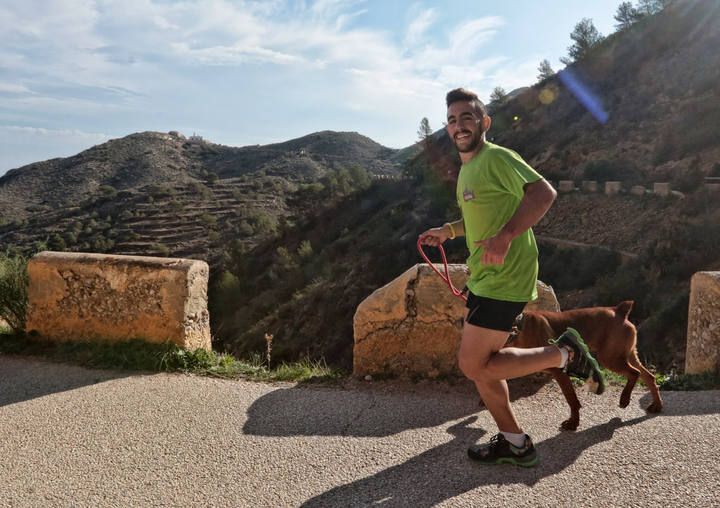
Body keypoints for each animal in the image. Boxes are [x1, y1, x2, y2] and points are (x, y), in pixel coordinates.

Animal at [512, 300, 664, 430]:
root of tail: (618, 310)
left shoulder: (559, 372)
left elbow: (572, 399)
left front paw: (573, 423)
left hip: (610, 359)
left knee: (635, 373)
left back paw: (624, 399)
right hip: (628, 356)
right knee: (649, 377)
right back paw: (656, 405)